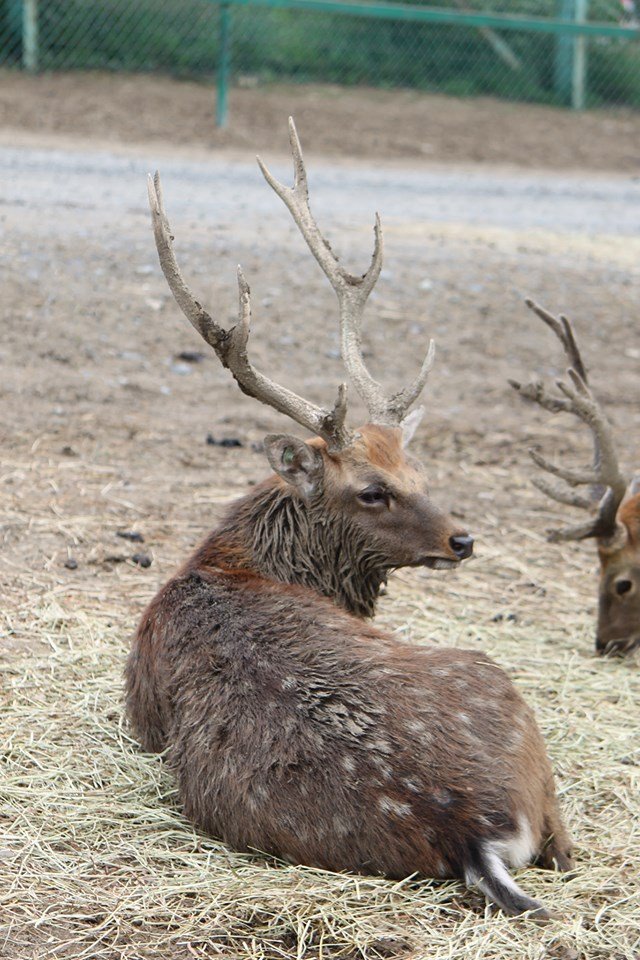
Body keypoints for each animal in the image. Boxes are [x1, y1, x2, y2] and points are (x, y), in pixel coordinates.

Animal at [124, 118, 568, 916]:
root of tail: (471, 833)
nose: (463, 538)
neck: (229, 560)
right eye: (371, 491)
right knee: (569, 849)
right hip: (498, 679)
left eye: (418, 471)